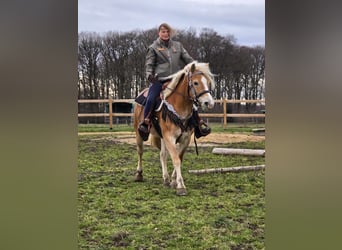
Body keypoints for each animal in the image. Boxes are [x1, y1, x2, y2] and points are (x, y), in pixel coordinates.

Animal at [133, 62, 215, 195]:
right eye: (195, 83)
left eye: (208, 82)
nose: (209, 103)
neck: (179, 108)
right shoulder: (170, 138)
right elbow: (175, 159)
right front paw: (181, 186)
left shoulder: (185, 139)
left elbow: (179, 158)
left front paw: (173, 181)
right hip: (139, 132)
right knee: (140, 152)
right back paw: (139, 175)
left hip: (162, 137)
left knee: (162, 155)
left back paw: (166, 179)